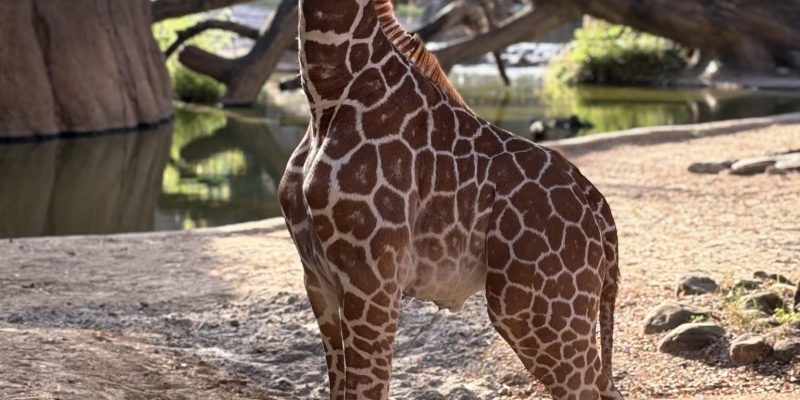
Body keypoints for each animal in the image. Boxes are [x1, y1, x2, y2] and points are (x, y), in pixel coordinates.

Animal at [278, 1, 623, 399]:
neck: (327, 96)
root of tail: (597, 204)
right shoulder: (317, 277)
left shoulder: (373, 278)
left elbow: (367, 388)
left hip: (536, 313)